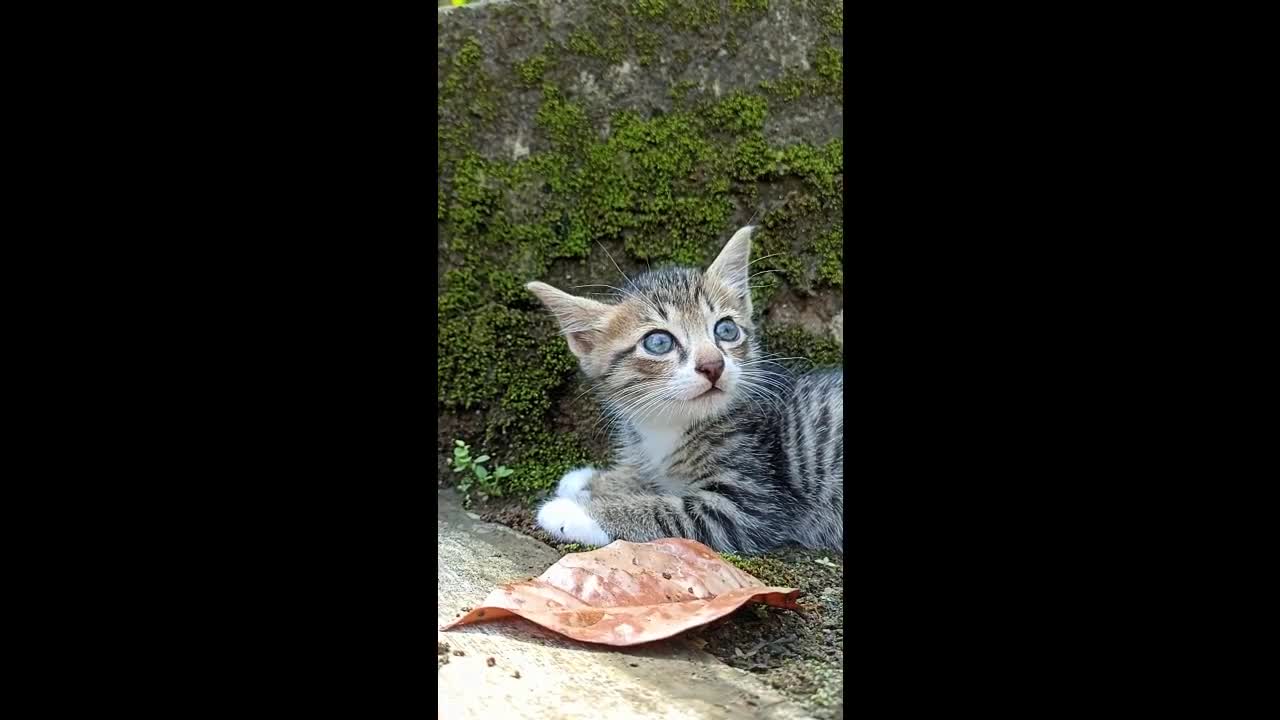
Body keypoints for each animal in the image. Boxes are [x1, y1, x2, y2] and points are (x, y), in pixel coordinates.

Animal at [519, 226, 839, 550]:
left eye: (726, 330)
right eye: (659, 342)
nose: (713, 365)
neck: (672, 424)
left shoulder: (753, 500)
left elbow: (666, 511)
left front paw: (574, 511)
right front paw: (594, 481)